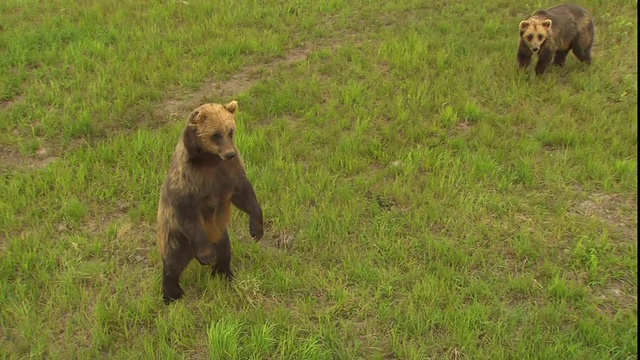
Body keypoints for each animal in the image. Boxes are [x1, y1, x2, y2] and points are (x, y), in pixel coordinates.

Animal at [156, 100, 264, 304]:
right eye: (216, 134)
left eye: (230, 131)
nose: (229, 153)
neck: (209, 160)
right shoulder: (189, 179)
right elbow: (188, 212)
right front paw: (206, 255)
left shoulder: (230, 172)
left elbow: (245, 195)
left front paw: (256, 230)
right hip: (177, 235)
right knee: (173, 262)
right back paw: (172, 293)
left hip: (220, 234)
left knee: (224, 252)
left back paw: (224, 274)